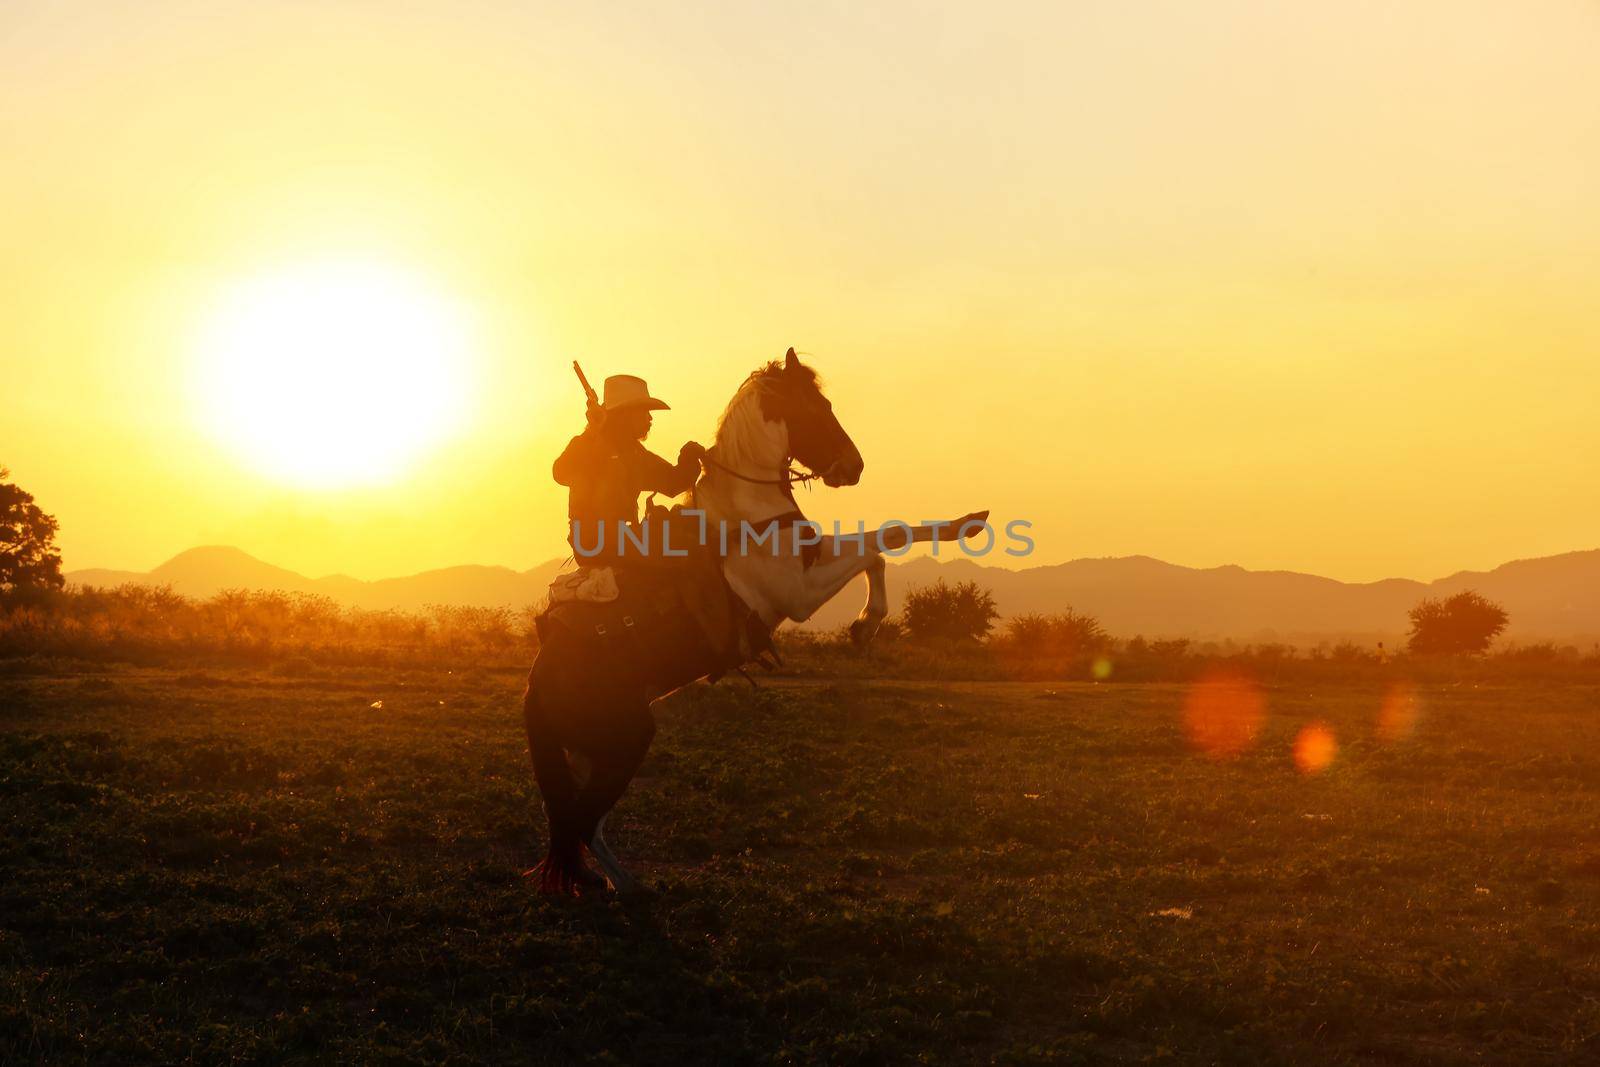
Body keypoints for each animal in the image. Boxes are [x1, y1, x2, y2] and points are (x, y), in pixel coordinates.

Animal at [521, 348, 985, 895]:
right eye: (817, 406)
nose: (853, 467)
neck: (747, 514)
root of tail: (538, 681)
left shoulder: (812, 559)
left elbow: (883, 543)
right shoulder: (799, 594)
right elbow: (882, 541)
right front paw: (869, 620)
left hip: (587, 752)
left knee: (581, 822)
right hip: (624, 740)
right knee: (583, 819)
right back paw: (627, 888)